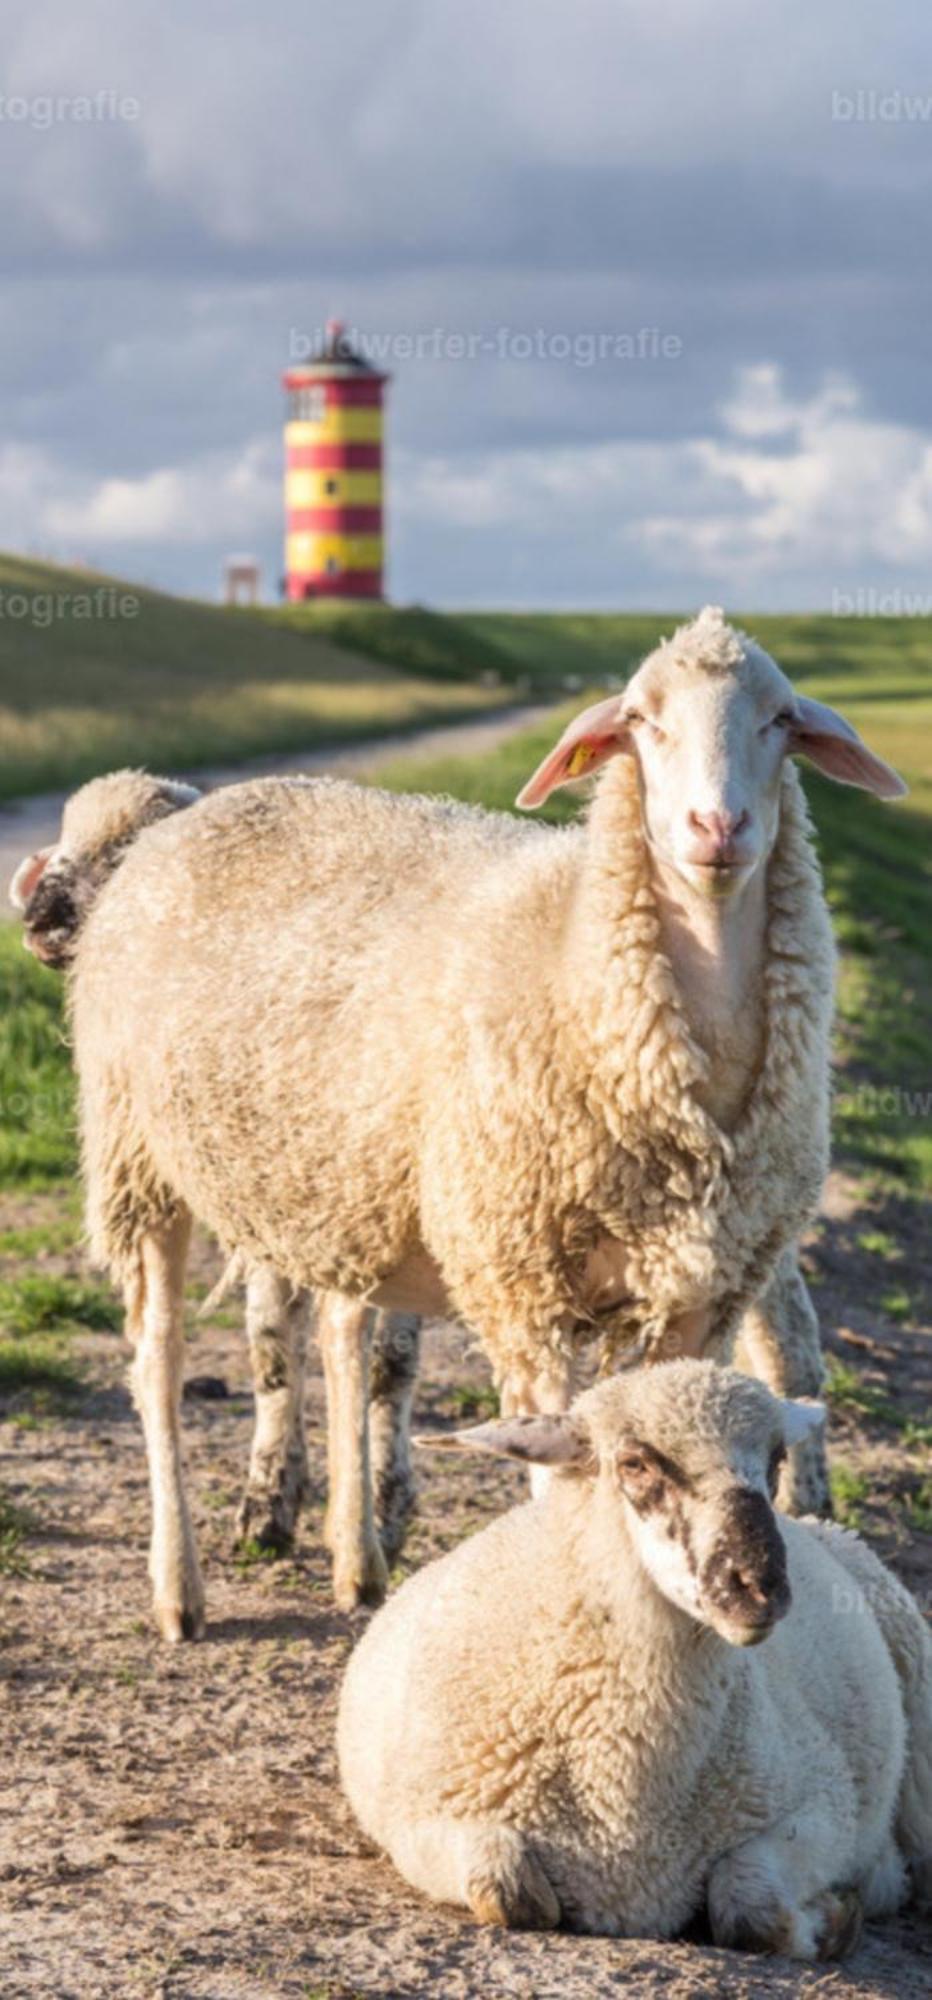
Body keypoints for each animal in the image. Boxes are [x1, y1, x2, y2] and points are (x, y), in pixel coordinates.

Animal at [62, 612, 908, 1640]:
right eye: (639, 720)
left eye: (781, 720)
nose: (718, 828)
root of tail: (183, 816)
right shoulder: (521, 1285)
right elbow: (550, 1473)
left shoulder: (699, 1297)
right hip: (138, 1160)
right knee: (158, 1363)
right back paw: (178, 1586)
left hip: (339, 1186)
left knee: (343, 1342)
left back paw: (356, 1560)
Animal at [338, 1360, 932, 1952]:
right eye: (635, 1463)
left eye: (776, 1460)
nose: (759, 1586)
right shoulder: (422, 1818)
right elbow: (509, 1890)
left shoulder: (826, 1803)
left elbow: (749, 1905)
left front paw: (835, 1919)